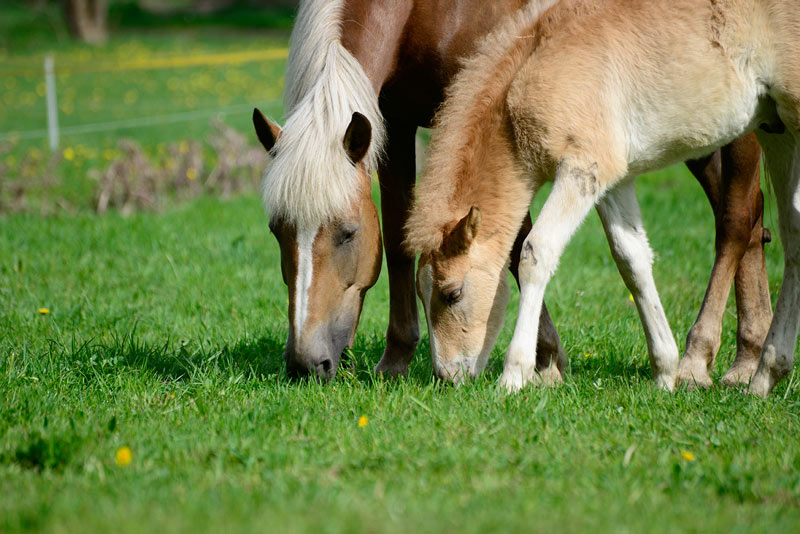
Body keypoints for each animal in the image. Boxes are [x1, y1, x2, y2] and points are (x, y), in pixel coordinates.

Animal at [255, 0, 768, 388]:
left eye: (348, 232)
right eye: (276, 231)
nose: (306, 363)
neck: (421, 10)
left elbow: (515, 240)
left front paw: (545, 361)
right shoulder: (394, 121)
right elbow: (402, 242)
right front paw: (396, 358)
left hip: (734, 128)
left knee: (735, 220)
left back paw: (709, 360)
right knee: (754, 220)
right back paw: (751, 354)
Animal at [406, 0, 800, 398]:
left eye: (453, 293)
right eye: (421, 295)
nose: (446, 377)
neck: (536, 67)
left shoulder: (581, 168)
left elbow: (535, 252)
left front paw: (514, 376)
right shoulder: (614, 178)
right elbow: (632, 260)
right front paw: (665, 372)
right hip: (776, 131)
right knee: (793, 232)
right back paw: (766, 375)